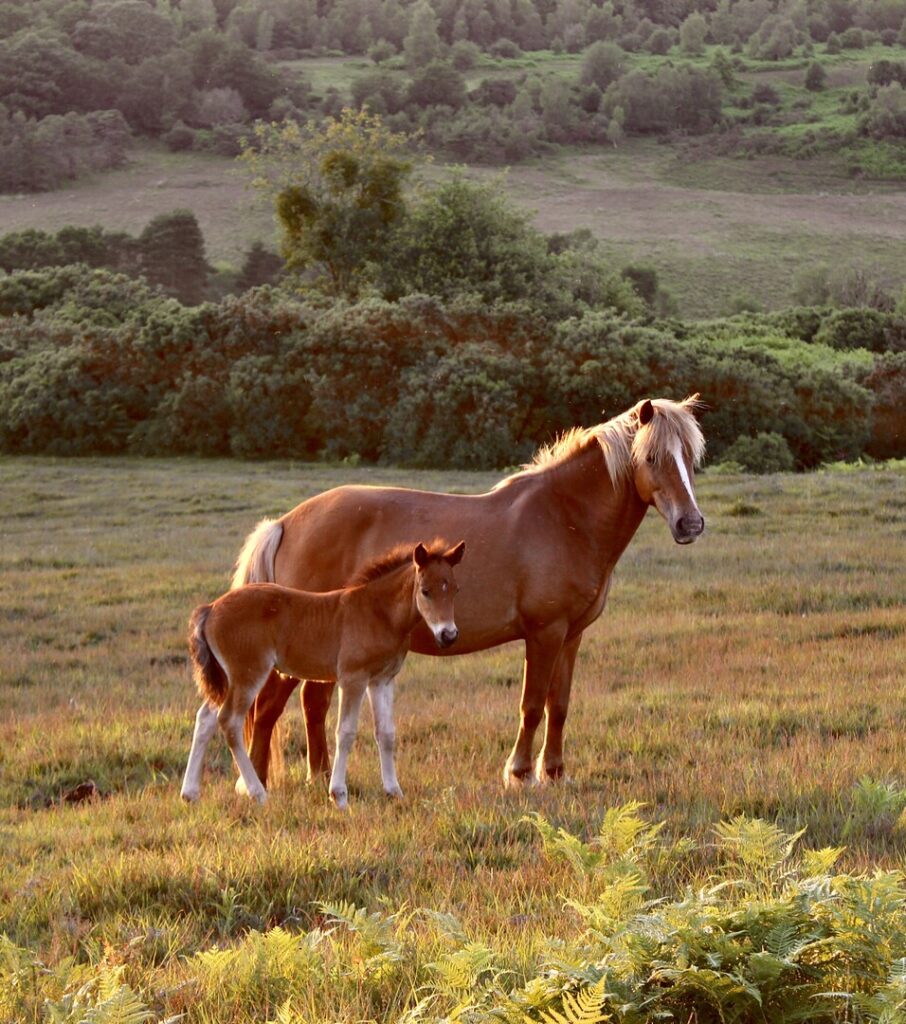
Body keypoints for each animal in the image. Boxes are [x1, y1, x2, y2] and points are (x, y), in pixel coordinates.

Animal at [180, 540, 465, 809]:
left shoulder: (382, 680)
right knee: (229, 721)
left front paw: (394, 792)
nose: (448, 635)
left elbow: (386, 733)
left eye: (454, 589)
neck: (377, 613)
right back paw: (257, 793)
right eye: (425, 591)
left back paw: (190, 794)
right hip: (247, 673)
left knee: (206, 717)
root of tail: (211, 608)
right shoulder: (353, 678)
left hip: (228, 677)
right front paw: (338, 795)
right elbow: (346, 732)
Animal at [232, 395, 706, 792]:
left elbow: (559, 705)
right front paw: (519, 774)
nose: (691, 524)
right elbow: (532, 705)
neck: (565, 517)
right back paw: (256, 783)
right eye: (652, 456)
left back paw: (320, 776)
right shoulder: (545, 633)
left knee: (311, 703)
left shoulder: (571, 636)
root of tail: (286, 523)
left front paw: (554, 773)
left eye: (690, 458)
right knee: (269, 706)